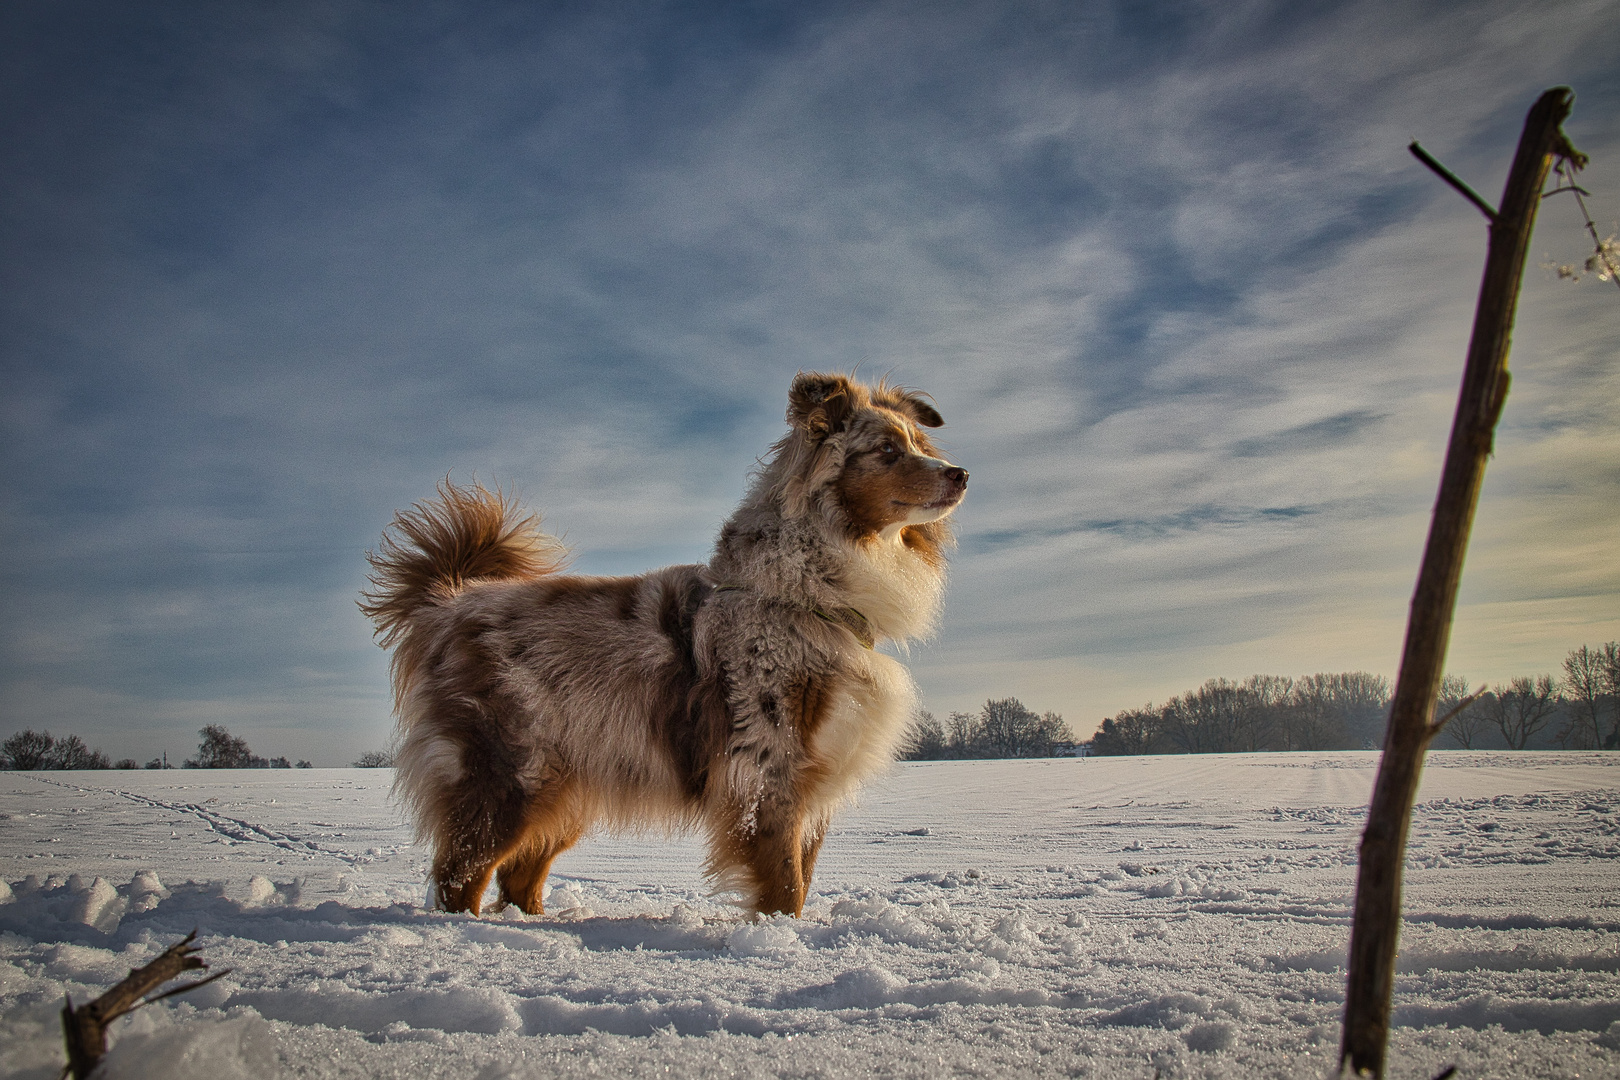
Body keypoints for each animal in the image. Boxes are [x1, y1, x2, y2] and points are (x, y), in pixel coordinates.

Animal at [361, 372, 965, 913]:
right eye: (886, 450)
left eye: (919, 444)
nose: (961, 473)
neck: (801, 590)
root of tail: (450, 602)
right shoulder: (768, 766)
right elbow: (786, 884)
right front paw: (778, 943)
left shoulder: (817, 771)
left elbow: (803, 874)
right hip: (507, 775)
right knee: (458, 877)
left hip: (567, 787)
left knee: (517, 880)